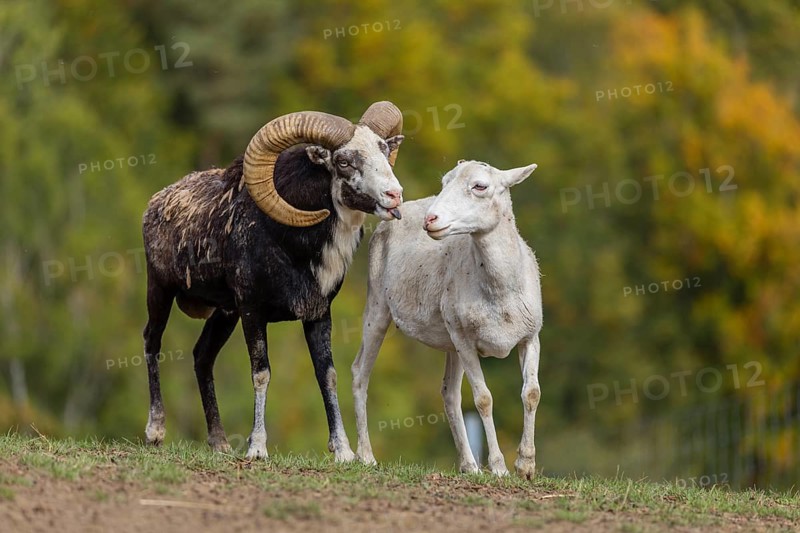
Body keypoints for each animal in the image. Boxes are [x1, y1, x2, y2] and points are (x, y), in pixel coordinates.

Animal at [142, 102, 405, 461]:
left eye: (383, 150)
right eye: (344, 161)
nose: (395, 195)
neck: (293, 248)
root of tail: (156, 203)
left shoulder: (317, 314)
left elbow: (328, 375)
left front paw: (343, 452)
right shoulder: (253, 312)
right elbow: (261, 373)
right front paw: (257, 449)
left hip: (224, 314)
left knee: (202, 356)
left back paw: (220, 443)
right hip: (161, 291)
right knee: (152, 342)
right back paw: (155, 431)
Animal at [351, 159, 541, 477]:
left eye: (480, 186)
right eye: (444, 182)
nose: (431, 219)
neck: (499, 293)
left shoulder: (530, 336)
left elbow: (531, 393)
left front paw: (526, 466)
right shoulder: (466, 341)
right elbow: (484, 399)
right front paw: (499, 468)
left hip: (451, 338)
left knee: (449, 394)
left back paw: (469, 466)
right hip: (378, 307)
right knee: (359, 373)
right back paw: (365, 456)